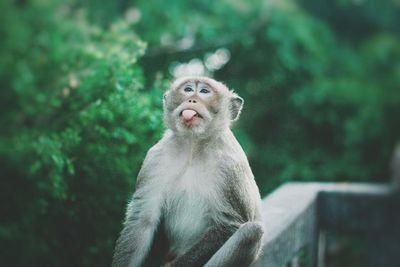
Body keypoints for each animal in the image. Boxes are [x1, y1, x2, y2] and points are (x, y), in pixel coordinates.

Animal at [111, 76, 264, 266]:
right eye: (189, 89)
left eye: (204, 91)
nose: (192, 100)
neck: (193, 146)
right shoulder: (154, 159)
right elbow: (142, 220)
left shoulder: (230, 168)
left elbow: (229, 225)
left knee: (251, 233)